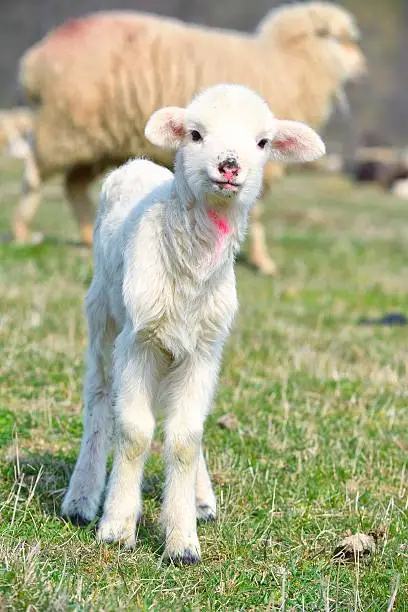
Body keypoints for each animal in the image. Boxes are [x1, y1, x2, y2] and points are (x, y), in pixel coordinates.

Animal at [15, 0, 366, 272]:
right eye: (340, 38)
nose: (363, 67)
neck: (292, 63)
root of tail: (36, 59)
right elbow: (258, 212)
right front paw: (264, 262)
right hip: (63, 126)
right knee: (33, 173)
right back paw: (21, 233)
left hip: (94, 139)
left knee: (74, 185)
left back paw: (90, 236)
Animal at [61, 82, 326, 564]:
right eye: (195, 134)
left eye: (263, 142)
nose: (230, 165)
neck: (191, 271)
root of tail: (137, 163)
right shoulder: (139, 341)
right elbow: (135, 431)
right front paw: (117, 528)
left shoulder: (204, 350)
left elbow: (185, 436)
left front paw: (182, 540)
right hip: (103, 317)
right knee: (99, 399)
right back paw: (82, 498)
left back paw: (200, 500)